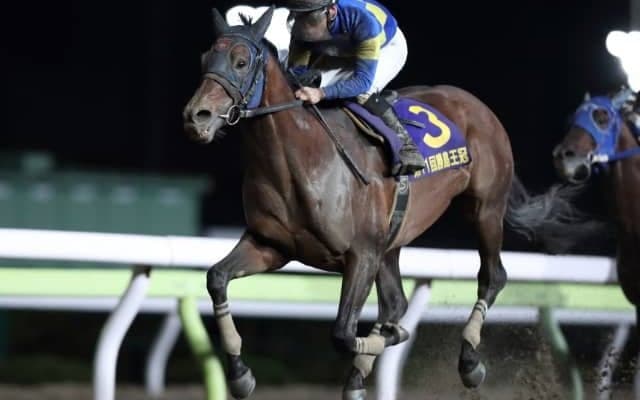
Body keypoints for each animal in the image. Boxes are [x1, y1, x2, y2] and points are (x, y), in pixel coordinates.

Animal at [182, 7, 557, 399]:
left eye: (240, 62)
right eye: (205, 59)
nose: (196, 116)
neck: (300, 160)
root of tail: (475, 104)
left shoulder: (361, 254)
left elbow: (343, 333)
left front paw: (394, 338)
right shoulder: (271, 245)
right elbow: (216, 278)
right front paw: (241, 374)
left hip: (485, 208)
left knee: (492, 277)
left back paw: (469, 362)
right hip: (392, 239)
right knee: (396, 302)